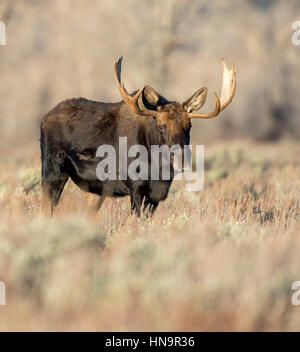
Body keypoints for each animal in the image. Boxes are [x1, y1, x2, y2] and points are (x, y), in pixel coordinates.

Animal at [40, 56, 237, 216]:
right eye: (161, 126)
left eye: (189, 125)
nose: (180, 160)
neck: (158, 168)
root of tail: (44, 118)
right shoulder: (135, 187)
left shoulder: (157, 194)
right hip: (52, 171)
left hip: (94, 189)